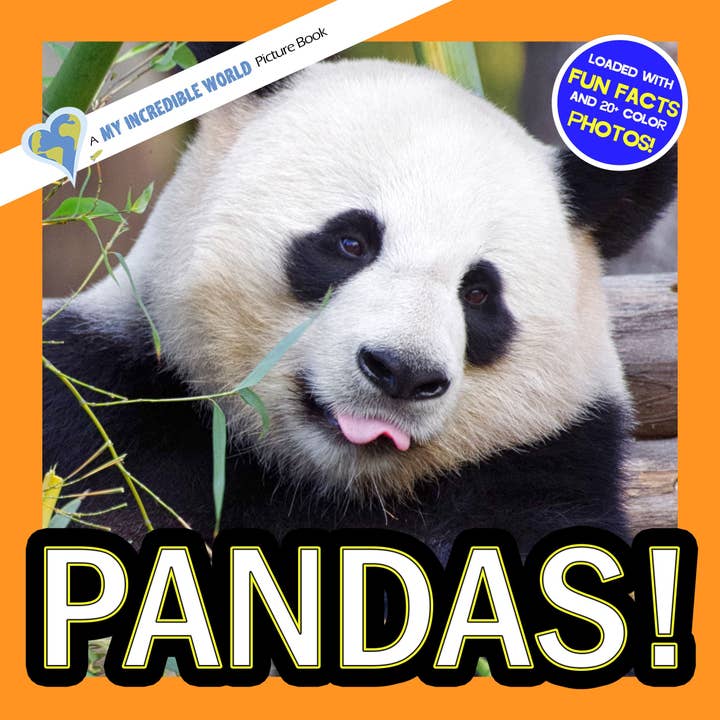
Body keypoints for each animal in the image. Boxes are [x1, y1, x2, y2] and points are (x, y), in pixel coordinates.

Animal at [43, 56, 677, 558]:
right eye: (352, 242)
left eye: (478, 293)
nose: (402, 372)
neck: (329, 483)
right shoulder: (117, 410)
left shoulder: (541, 465)